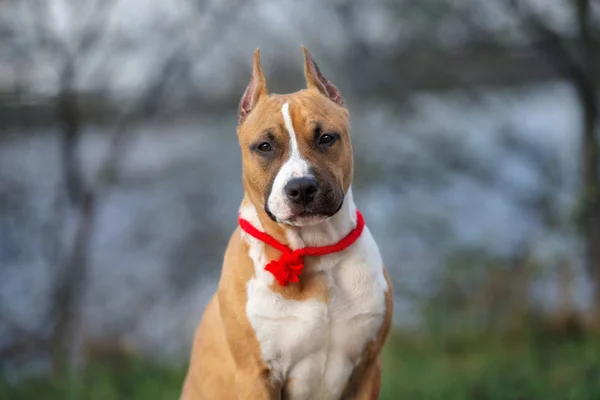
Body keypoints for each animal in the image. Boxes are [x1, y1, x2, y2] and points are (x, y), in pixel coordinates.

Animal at [180, 47, 392, 400]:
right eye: (264, 146)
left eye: (326, 138)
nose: (302, 187)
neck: (315, 251)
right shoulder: (256, 377)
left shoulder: (367, 369)